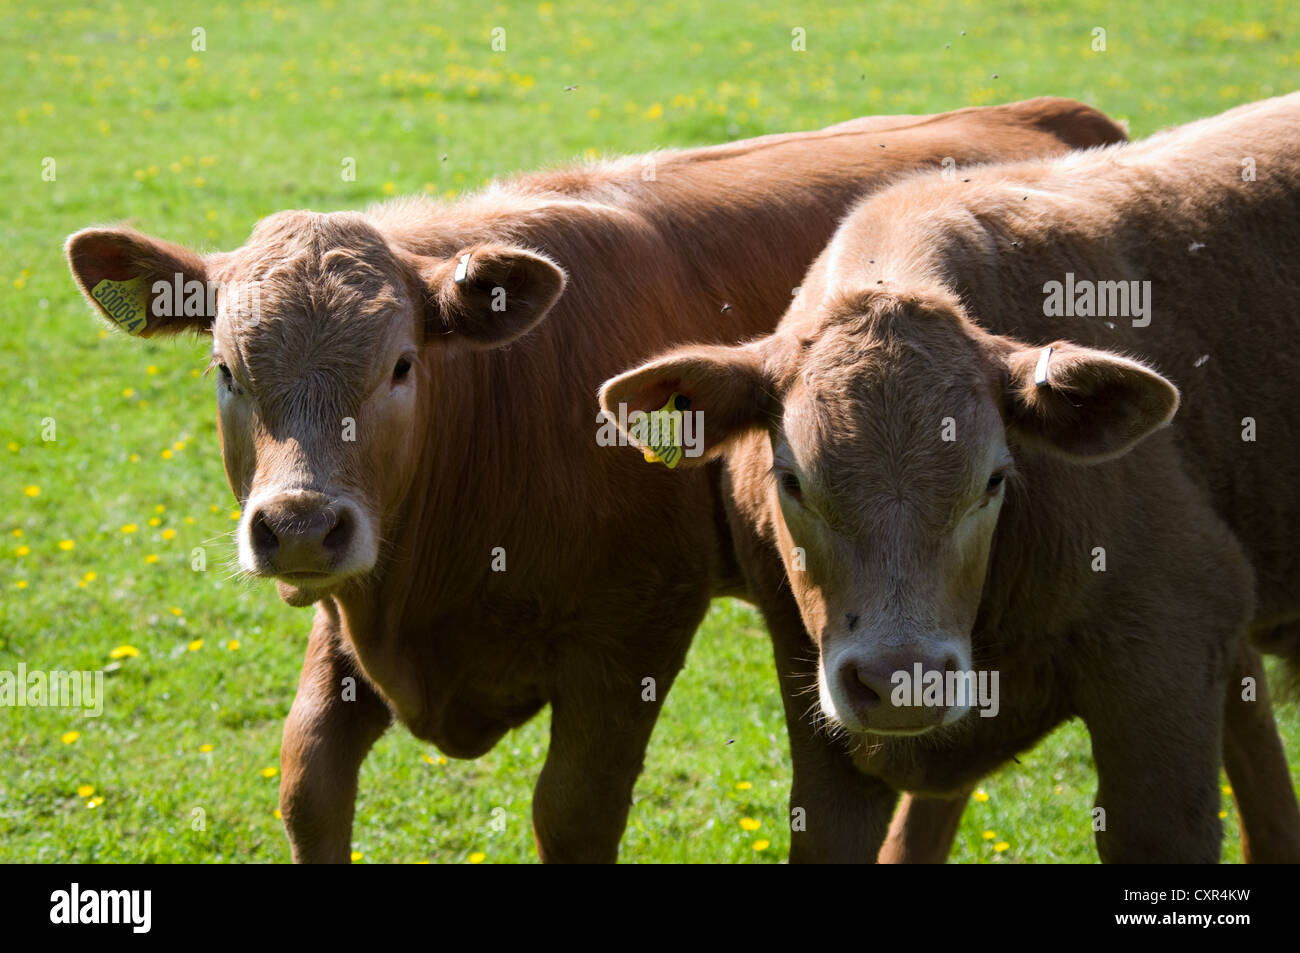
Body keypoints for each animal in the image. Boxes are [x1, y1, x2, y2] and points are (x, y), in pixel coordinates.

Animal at [68, 96, 1128, 863]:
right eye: (226, 368)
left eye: (401, 365)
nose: (296, 524)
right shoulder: (351, 610)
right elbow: (309, 784)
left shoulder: (633, 633)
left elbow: (572, 813)